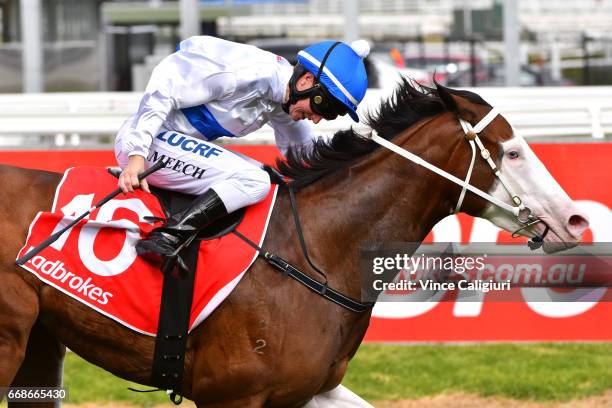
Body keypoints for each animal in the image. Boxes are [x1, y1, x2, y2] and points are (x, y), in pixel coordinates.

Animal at [0, 81, 588, 406]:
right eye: (512, 152)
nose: (576, 220)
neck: (320, 250)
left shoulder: (305, 390)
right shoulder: (230, 394)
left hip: (40, 346)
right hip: (10, 341)